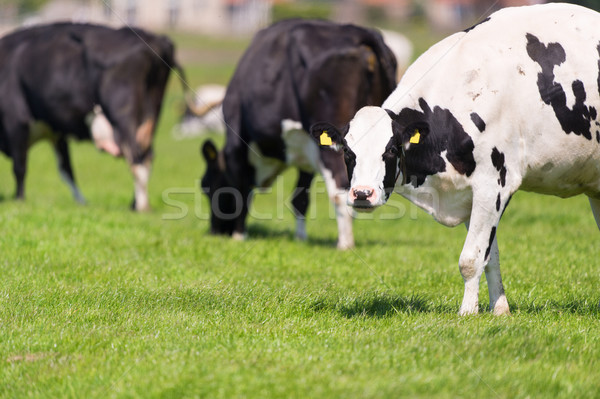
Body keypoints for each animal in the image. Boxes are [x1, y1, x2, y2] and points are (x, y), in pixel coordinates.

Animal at [0, 22, 182, 211]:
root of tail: (157, 40)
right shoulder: (56, 132)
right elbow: (66, 169)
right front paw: (81, 202)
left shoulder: (16, 121)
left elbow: (19, 167)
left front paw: (19, 199)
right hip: (152, 114)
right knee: (147, 156)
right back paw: (134, 204)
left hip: (123, 115)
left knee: (136, 159)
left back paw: (141, 207)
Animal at [202, 19, 398, 250]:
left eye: (206, 186)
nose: (215, 231)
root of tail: (357, 32)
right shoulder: (307, 151)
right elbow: (300, 199)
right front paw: (300, 238)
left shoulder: (236, 145)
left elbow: (240, 191)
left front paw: (239, 236)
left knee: (340, 191)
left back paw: (344, 244)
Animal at [318, 4, 600, 314]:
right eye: (347, 151)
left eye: (391, 149)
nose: (361, 194)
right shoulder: (469, 196)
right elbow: (490, 258)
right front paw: (499, 310)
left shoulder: (494, 185)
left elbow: (470, 259)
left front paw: (467, 313)